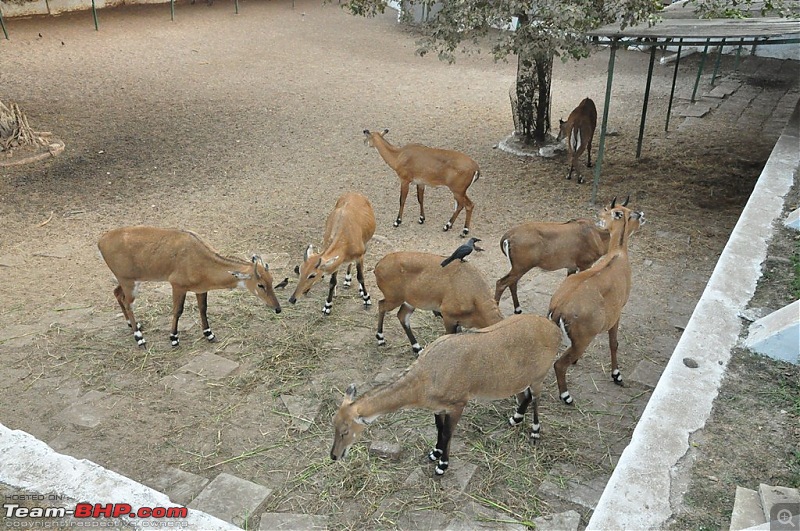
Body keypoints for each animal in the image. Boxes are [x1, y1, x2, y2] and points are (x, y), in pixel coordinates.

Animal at [97, 225, 282, 348]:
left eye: (272, 280)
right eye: (260, 284)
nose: (277, 308)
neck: (199, 256)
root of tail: (101, 241)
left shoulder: (201, 289)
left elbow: (203, 309)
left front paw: (209, 334)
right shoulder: (177, 286)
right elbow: (177, 311)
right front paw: (174, 338)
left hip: (129, 281)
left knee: (117, 294)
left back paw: (133, 325)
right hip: (129, 282)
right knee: (128, 303)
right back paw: (139, 337)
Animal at [332, 314, 564, 476]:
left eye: (345, 431)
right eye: (333, 424)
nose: (334, 455)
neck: (426, 377)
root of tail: (554, 329)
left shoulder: (458, 404)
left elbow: (447, 433)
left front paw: (442, 465)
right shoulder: (439, 407)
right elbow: (439, 428)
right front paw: (435, 453)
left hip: (539, 376)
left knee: (536, 398)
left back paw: (535, 431)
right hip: (520, 378)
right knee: (525, 395)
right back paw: (515, 418)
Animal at [548, 197, 648, 406]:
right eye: (632, 214)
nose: (643, 215)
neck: (617, 255)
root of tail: (559, 308)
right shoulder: (617, 314)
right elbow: (614, 343)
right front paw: (617, 375)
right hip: (583, 340)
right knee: (559, 365)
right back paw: (566, 396)